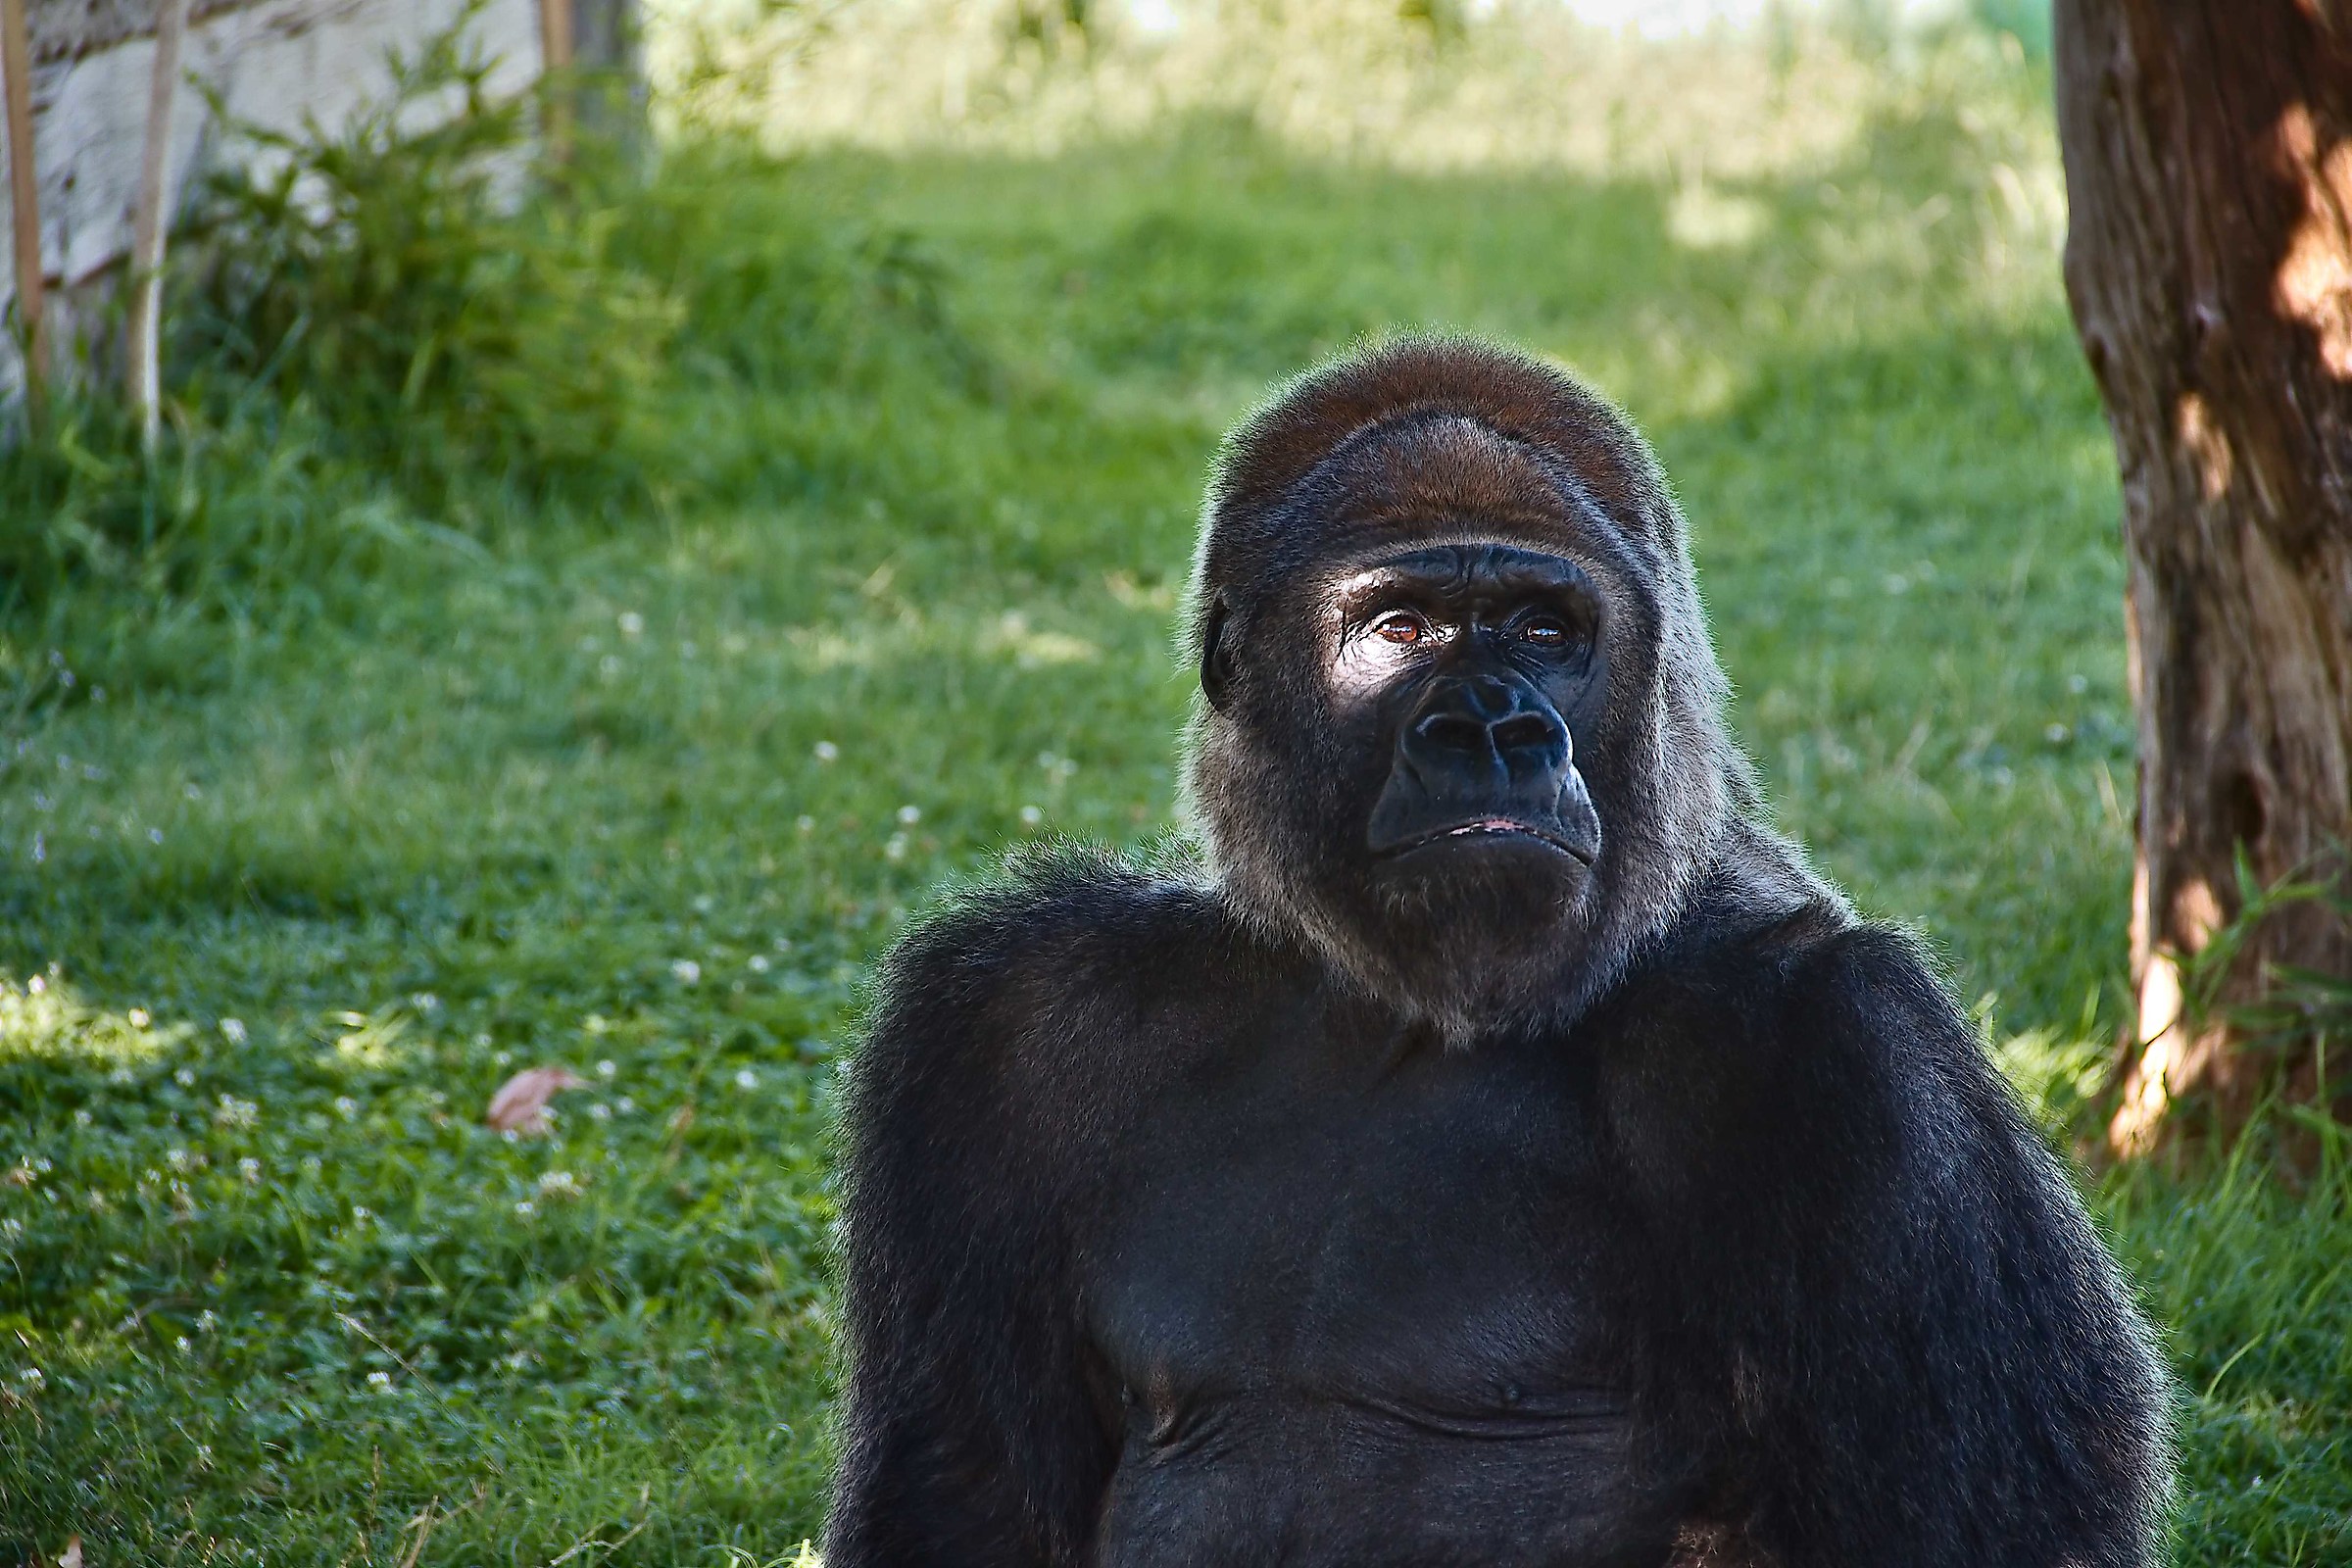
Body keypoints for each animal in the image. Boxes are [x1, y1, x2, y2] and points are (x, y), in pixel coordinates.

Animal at [825, 336, 2171, 1567]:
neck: (1395, 1009)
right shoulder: (1011, 1020)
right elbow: (966, 1494)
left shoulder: (1857, 1056)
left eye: (1543, 629)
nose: (1493, 728)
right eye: (1399, 627)